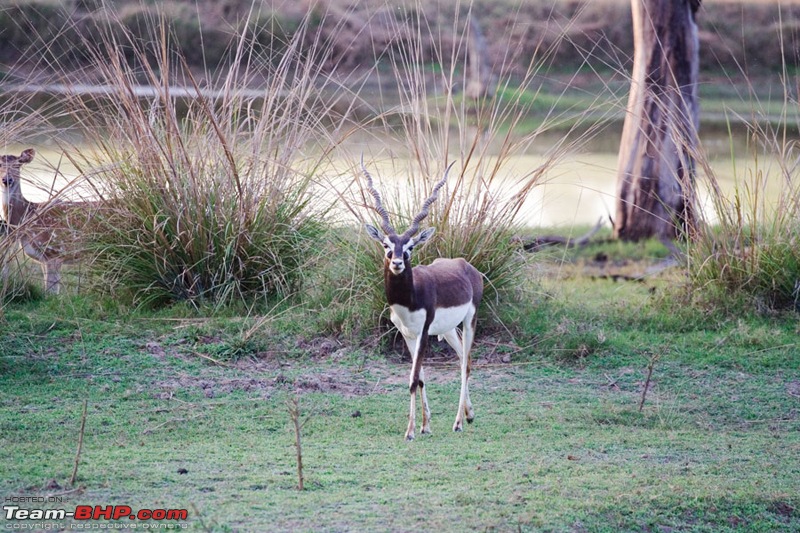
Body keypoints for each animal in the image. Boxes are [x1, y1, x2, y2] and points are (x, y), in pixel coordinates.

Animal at [366, 159, 484, 440]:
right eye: (386, 246)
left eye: (410, 247)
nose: (397, 263)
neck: (409, 299)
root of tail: (466, 265)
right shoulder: (407, 333)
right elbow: (419, 378)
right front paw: (425, 424)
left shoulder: (422, 332)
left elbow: (412, 379)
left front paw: (409, 431)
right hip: (448, 329)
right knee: (463, 359)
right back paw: (469, 415)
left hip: (470, 321)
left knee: (465, 365)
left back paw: (458, 422)